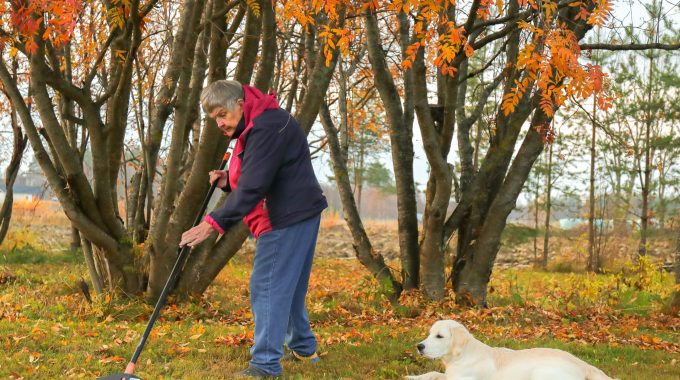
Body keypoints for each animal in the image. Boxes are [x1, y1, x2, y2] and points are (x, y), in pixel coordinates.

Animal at [406, 320, 620, 380]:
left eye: (439, 336)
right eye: (429, 333)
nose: (419, 346)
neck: (460, 356)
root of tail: (584, 365)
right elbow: (433, 373)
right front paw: (412, 377)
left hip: (541, 374)